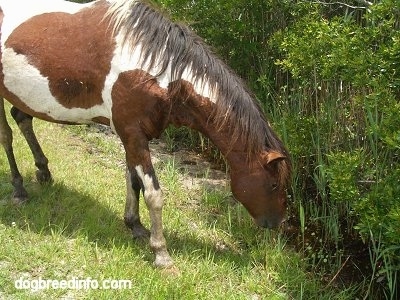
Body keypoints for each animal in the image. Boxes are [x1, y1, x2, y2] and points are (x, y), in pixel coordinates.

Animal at [0, 0, 290, 268]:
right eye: (274, 185)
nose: (276, 223)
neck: (155, 72)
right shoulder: (133, 135)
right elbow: (153, 193)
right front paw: (161, 253)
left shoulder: (133, 136)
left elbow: (133, 181)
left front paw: (135, 226)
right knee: (7, 137)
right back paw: (19, 189)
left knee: (22, 119)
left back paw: (43, 171)